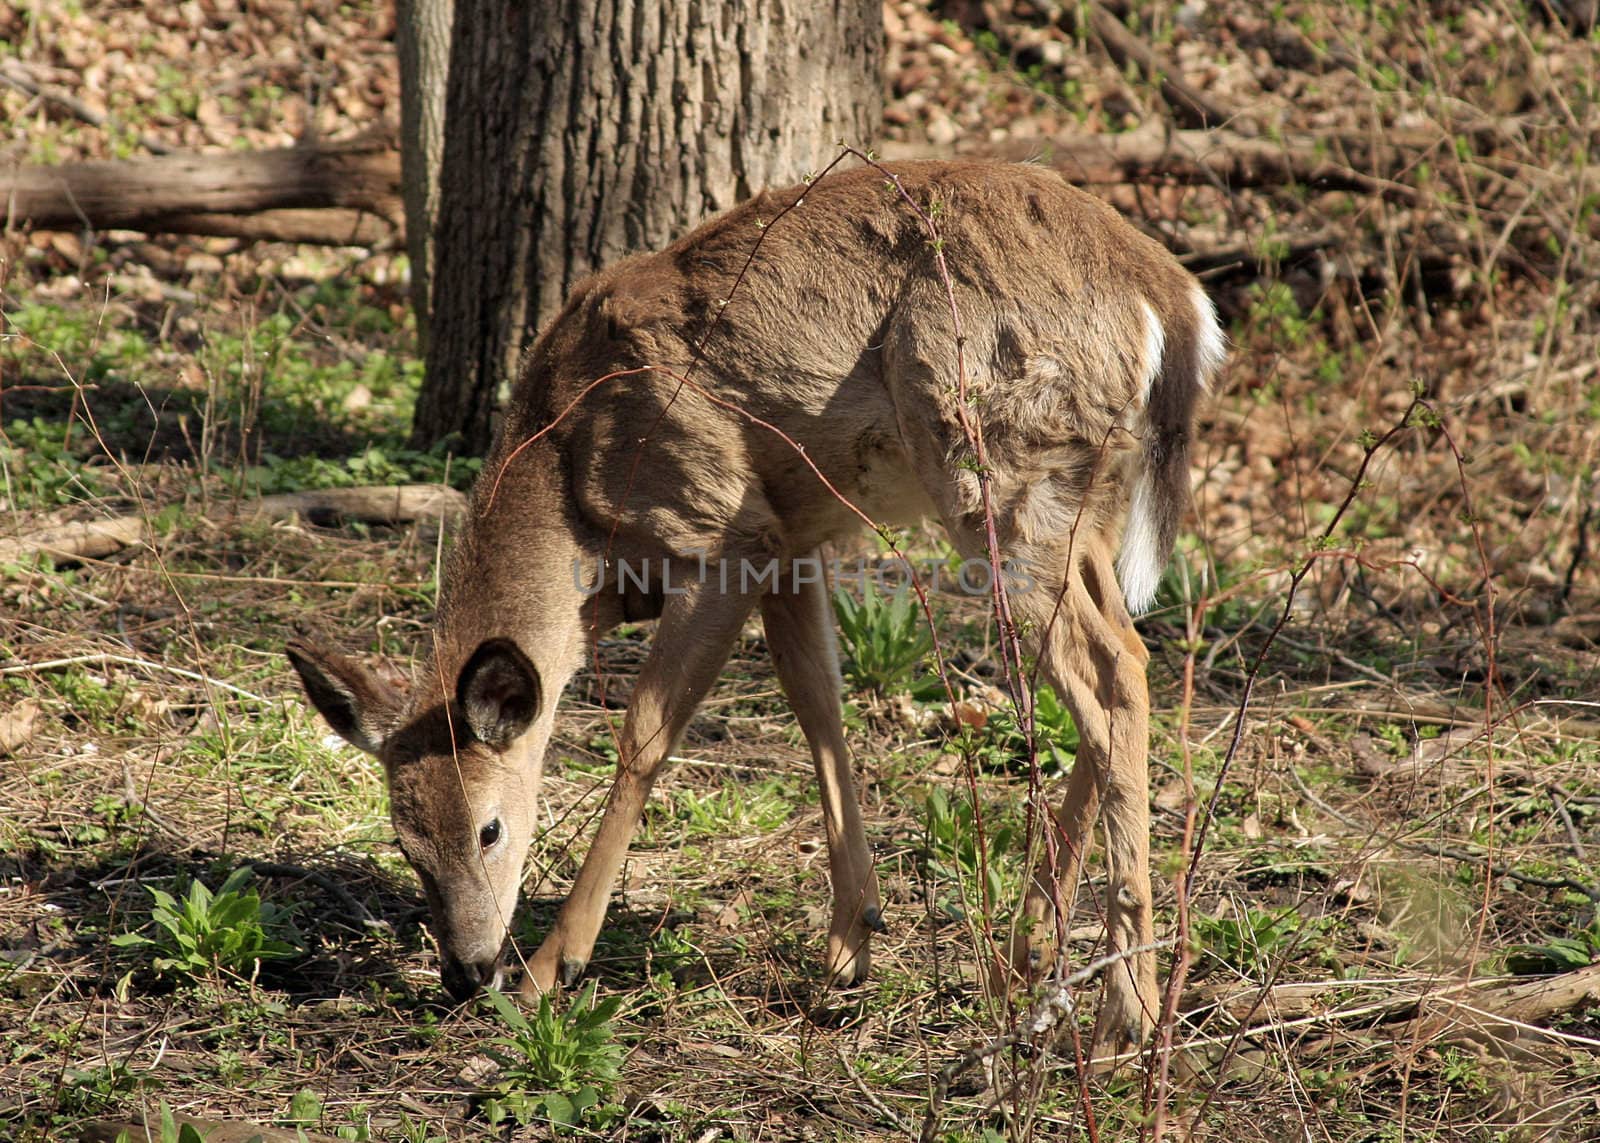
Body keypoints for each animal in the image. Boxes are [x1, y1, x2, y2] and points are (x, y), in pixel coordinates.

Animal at [288, 157, 1222, 1050]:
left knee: (1112, 670)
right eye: (403, 840)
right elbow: (817, 701)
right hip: (1078, 498)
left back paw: (1124, 1017)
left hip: (991, 459)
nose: (467, 970)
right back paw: (1031, 954)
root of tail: (1169, 296)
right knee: (1120, 662)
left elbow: (646, 734)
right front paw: (851, 944)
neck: (575, 494)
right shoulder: (791, 537)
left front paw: (551, 969)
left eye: (489, 828)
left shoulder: (724, 526)